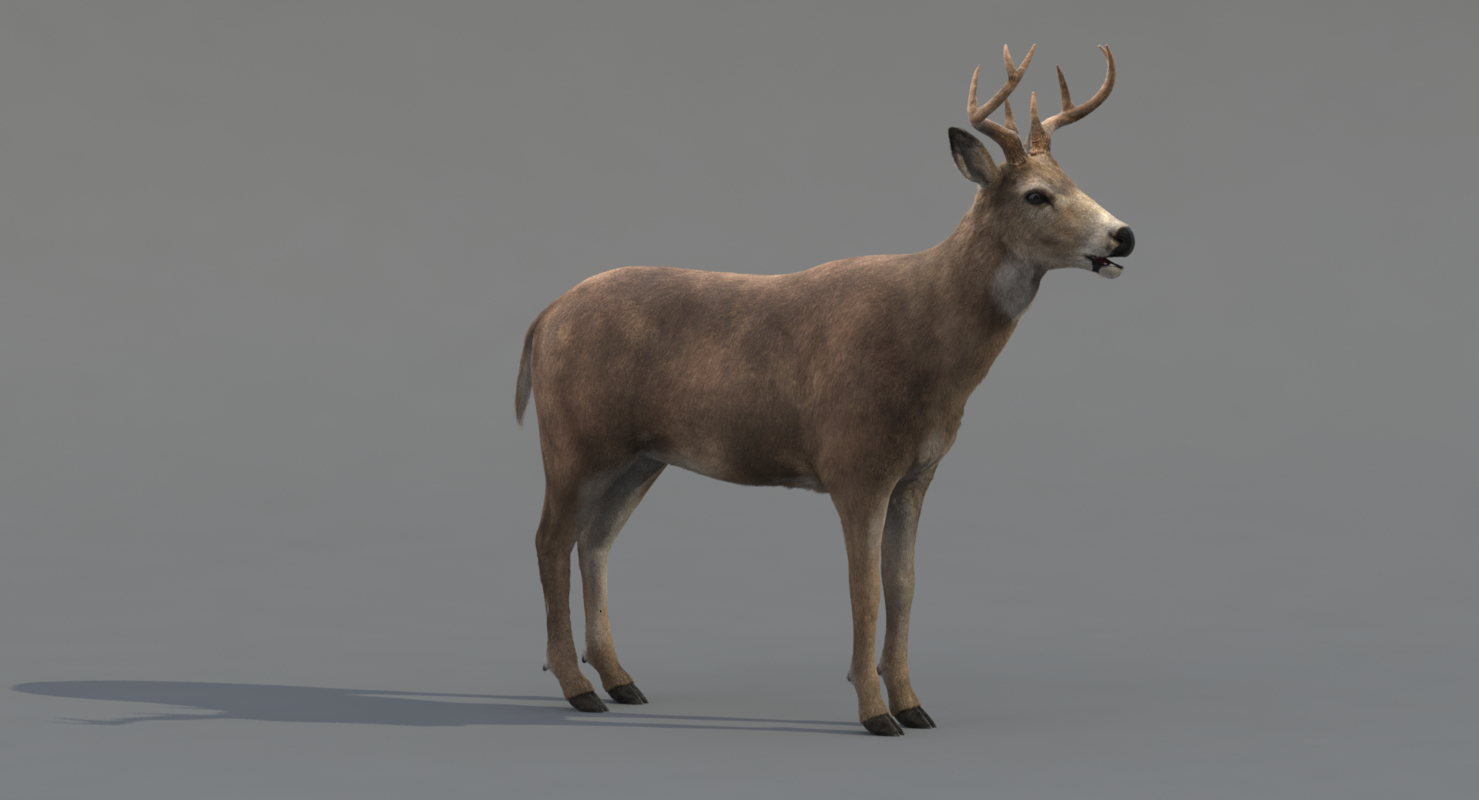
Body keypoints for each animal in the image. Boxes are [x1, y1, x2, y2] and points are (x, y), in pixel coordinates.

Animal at [515, 45, 1134, 736]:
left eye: (1075, 180)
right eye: (1036, 195)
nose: (1123, 235)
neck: (930, 346)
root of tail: (544, 317)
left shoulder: (917, 472)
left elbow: (903, 583)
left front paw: (913, 703)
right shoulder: (854, 463)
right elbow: (864, 589)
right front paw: (875, 713)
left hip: (641, 455)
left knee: (594, 541)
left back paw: (620, 681)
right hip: (572, 438)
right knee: (550, 539)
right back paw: (577, 688)